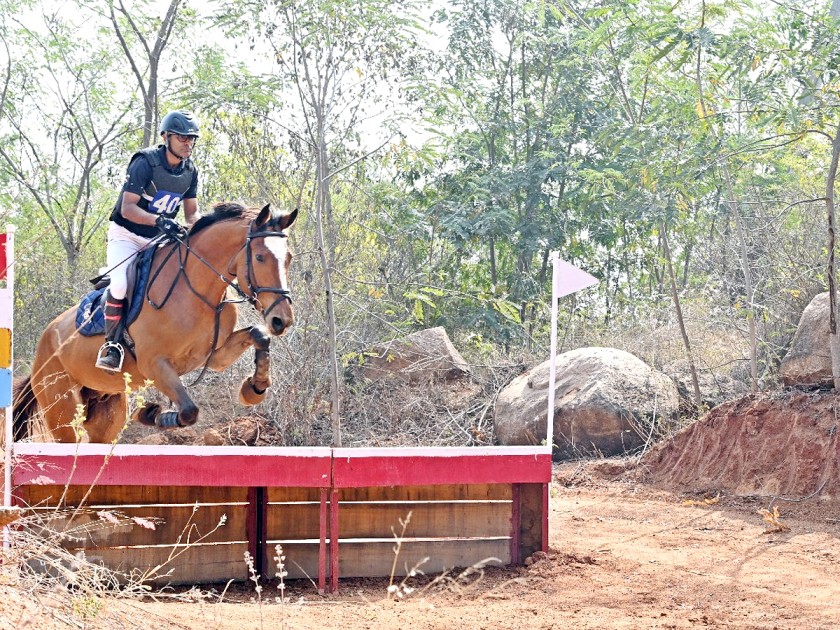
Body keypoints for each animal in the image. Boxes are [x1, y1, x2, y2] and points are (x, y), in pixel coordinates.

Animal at [12, 202, 298, 444]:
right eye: (260, 257)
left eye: (288, 258)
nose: (281, 320)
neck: (196, 290)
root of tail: (45, 341)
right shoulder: (154, 364)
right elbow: (189, 411)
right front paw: (154, 414)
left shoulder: (213, 356)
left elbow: (258, 334)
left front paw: (254, 388)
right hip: (62, 412)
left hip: (105, 410)